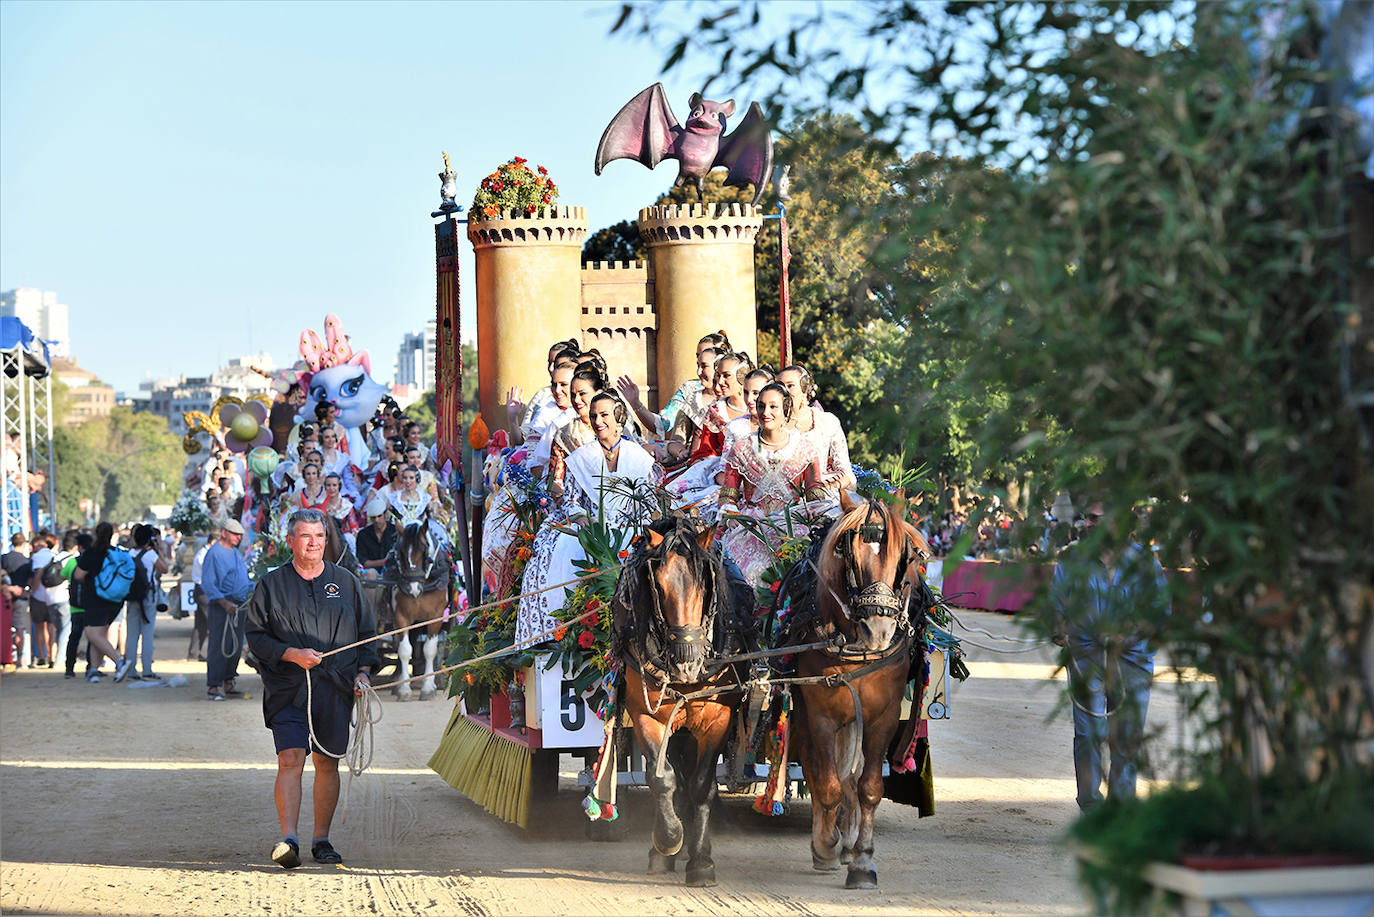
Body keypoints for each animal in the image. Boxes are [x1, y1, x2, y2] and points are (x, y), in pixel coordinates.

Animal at [390, 522, 447, 703]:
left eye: (424, 549)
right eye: (400, 551)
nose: (413, 589)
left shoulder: (436, 616)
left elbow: (429, 650)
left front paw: (428, 688)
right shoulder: (400, 617)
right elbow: (404, 650)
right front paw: (404, 689)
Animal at [618, 516, 758, 879]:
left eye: (703, 586)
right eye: (658, 586)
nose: (686, 660)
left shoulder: (718, 718)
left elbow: (702, 785)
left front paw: (701, 860)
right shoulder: (647, 714)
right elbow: (660, 777)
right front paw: (667, 840)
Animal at [785, 494, 934, 890]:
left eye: (905, 557)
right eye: (845, 552)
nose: (878, 629)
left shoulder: (883, 716)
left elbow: (867, 787)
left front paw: (863, 860)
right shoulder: (820, 712)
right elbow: (827, 783)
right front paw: (826, 844)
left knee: (849, 776)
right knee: (817, 767)